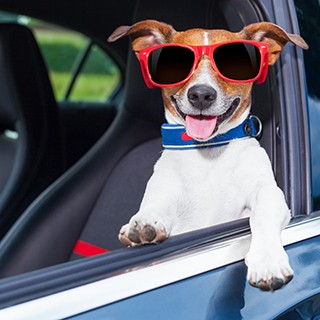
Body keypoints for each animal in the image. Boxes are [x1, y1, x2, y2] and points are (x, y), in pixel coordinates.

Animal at [109, 18, 308, 292]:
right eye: (175, 62)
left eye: (234, 62)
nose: (201, 95)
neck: (208, 154)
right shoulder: (162, 194)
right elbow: (153, 208)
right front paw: (143, 224)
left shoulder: (269, 193)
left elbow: (262, 216)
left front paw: (267, 261)